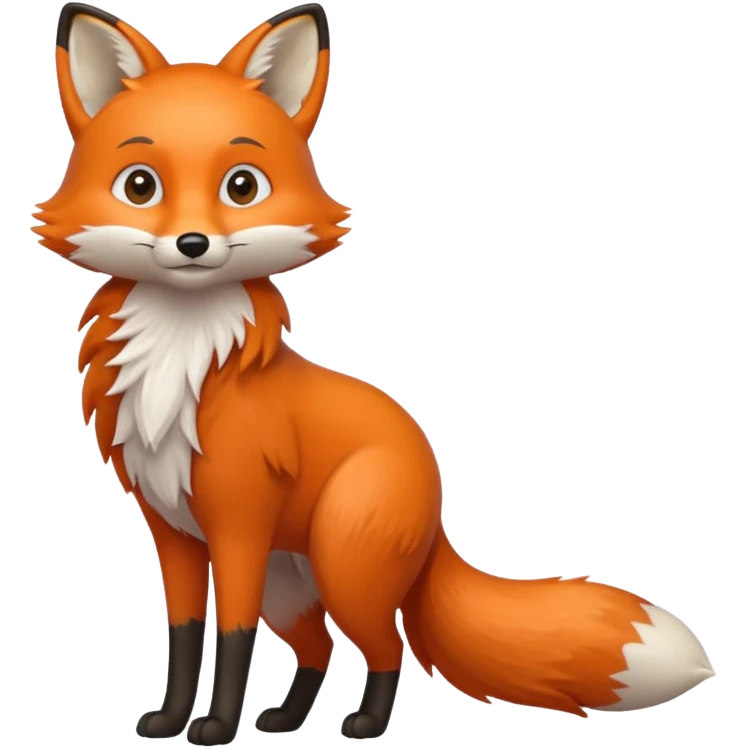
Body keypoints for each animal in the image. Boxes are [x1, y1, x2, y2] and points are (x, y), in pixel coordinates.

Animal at [33, 2, 717, 744]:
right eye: (140, 186)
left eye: (241, 186)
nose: (192, 244)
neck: (182, 357)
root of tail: (433, 488)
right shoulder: (176, 534)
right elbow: (186, 635)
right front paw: (169, 720)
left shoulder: (238, 528)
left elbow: (232, 636)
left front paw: (213, 727)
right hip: (291, 586)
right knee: (321, 648)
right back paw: (286, 718)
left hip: (341, 568)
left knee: (386, 647)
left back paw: (362, 722)